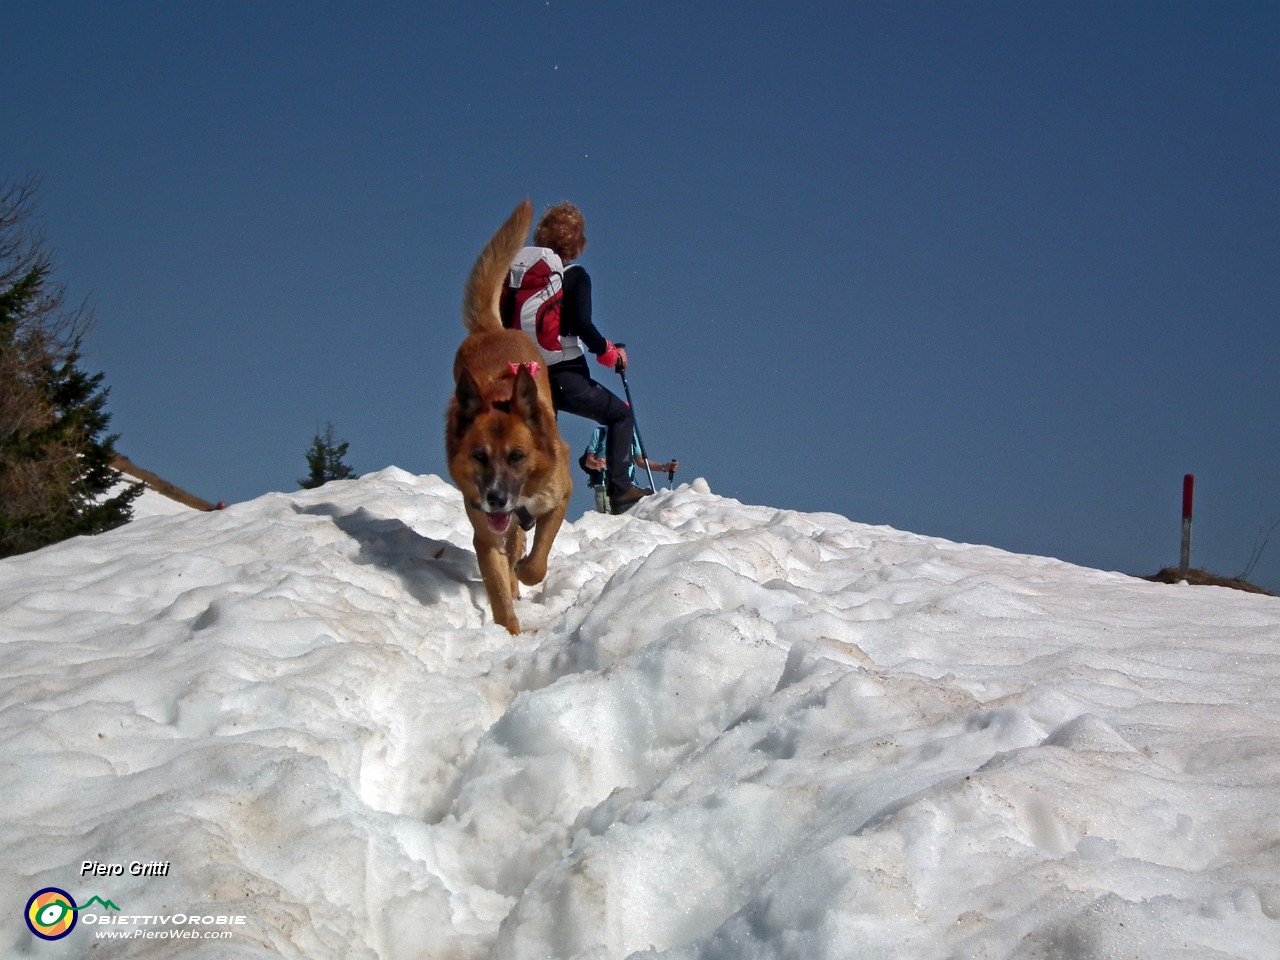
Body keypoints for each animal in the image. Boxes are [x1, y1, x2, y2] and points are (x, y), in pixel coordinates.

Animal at [448, 199, 573, 634]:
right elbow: (498, 589)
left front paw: (525, 571)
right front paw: (509, 634)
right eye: (479, 456)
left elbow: (536, 562)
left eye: (518, 456)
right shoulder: (484, 534)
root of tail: (489, 330)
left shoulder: (559, 496)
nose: (496, 498)